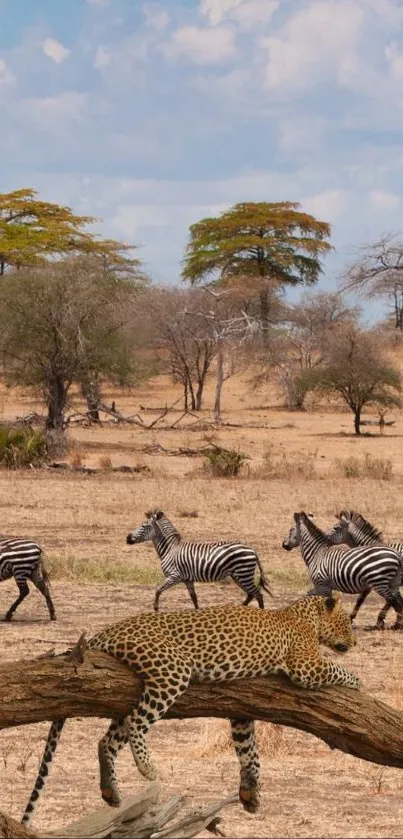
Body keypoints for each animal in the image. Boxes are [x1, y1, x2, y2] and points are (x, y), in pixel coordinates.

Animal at [22, 592, 362, 832]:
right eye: (348, 623)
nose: (355, 642)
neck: (304, 616)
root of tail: (108, 629)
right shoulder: (306, 666)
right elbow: (336, 669)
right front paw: (359, 682)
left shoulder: (242, 710)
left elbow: (249, 751)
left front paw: (250, 793)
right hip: (172, 670)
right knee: (136, 724)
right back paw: (147, 768)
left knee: (109, 738)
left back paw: (111, 792)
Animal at [126, 506, 272, 612]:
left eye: (144, 526)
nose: (127, 538)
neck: (170, 549)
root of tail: (253, 550)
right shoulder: (187, 579)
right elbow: (194, 598)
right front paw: (197, 613)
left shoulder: (174, 576)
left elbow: (158, 590)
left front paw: (156, 608)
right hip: (238, 575)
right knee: (251, 594)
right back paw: (241, 608)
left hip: (243, 574)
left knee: (258, 594)